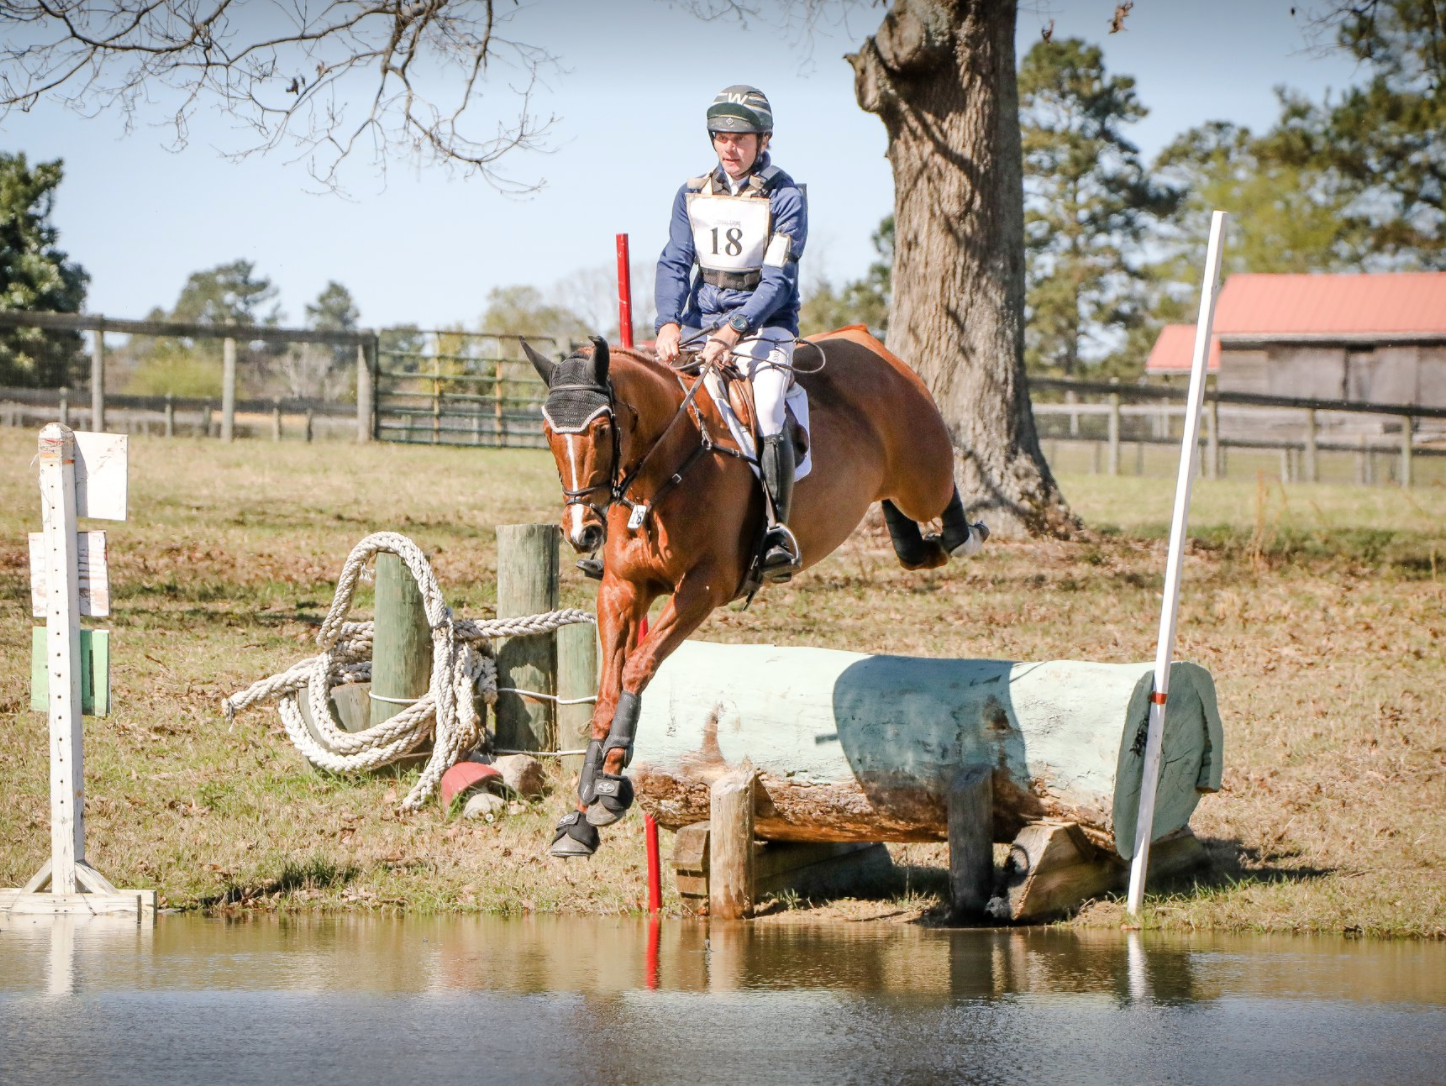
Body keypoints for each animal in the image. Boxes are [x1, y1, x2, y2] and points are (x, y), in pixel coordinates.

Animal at [521, 327, 987, 857]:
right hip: (894, 488)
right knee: (904, 528)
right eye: (547, 433)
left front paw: (610, 789)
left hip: (922, 477)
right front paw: (583, 813)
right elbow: (607, 692)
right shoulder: (621, 590)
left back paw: (964, 537)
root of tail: (865, 340)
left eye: (601, 429)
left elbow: (638, 669)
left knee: (940, 499)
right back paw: (920, 546)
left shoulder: (703, 587)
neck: (663, 468)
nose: (584, 532)